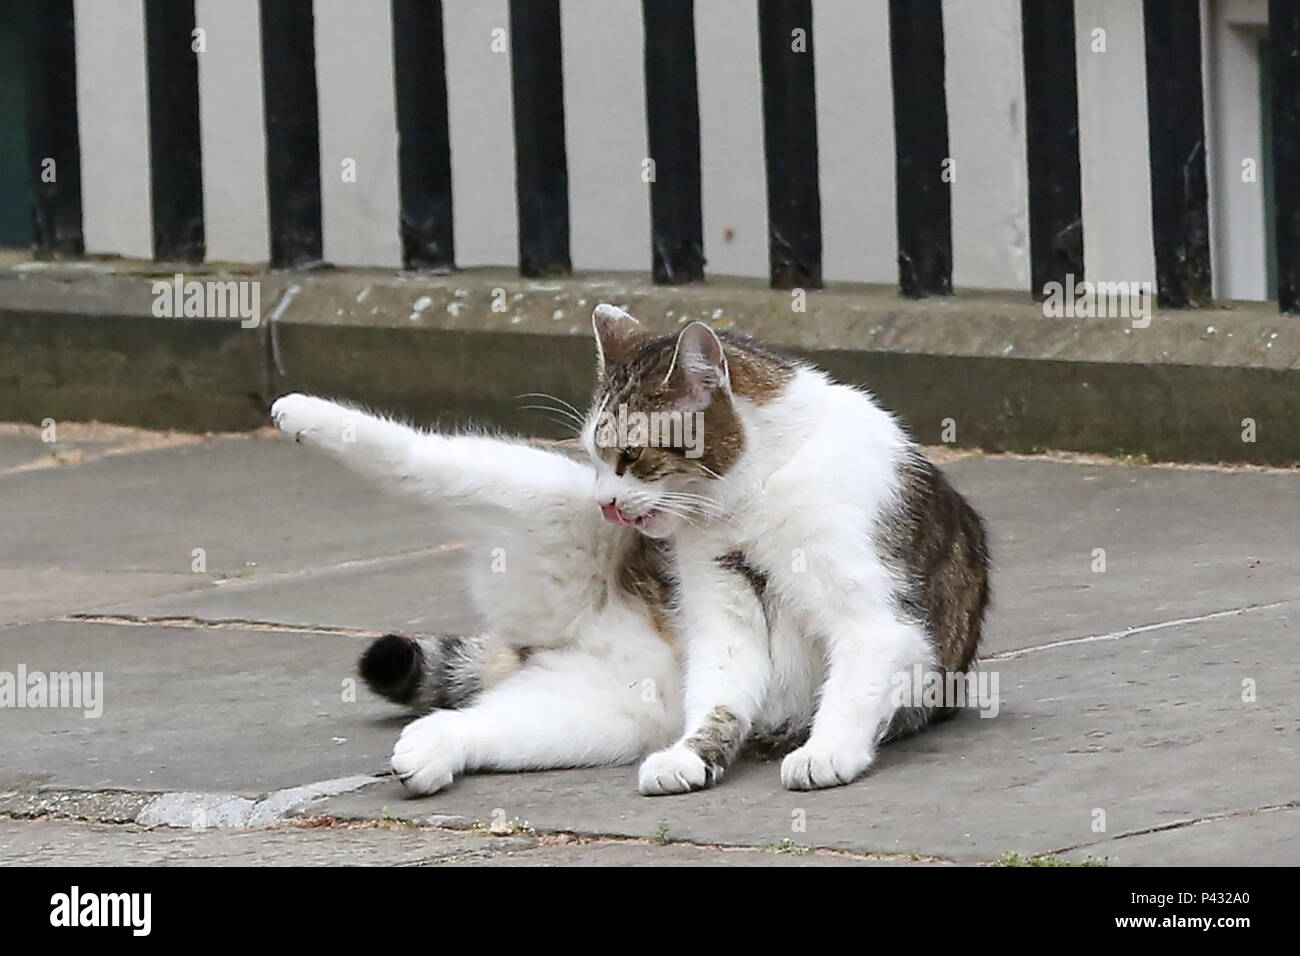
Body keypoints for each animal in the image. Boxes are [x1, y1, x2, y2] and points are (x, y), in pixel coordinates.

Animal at [269, 304, 987, 790]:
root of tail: (571, 634)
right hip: (524, 489)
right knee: (414, 454)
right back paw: (305, 413)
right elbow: (721, 694)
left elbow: (853, 684)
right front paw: (697, 756)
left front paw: (825, 751)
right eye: (595, 456)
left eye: (631, 457)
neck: (751, 494)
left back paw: (436, 745)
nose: (606, 503)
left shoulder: (874, 621)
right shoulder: (723, 614)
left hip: (591, 710)